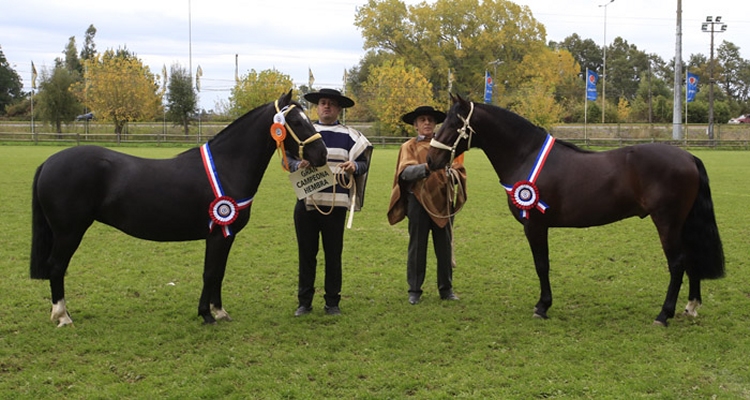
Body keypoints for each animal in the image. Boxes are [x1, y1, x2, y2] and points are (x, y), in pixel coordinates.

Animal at [30, 90, 328, 324]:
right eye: (295, 122)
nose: (322, 154)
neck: (227, 166)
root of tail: (49, 162)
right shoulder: (217, 234)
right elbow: (210, 273)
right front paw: (206, 314)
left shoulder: (225, 235)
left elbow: (218, 273)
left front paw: (219, 311)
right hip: (69, 232)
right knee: (57, 266)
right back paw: (63, 317)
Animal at [426, 95, 724, 326]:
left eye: (455, 123)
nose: (430, 159)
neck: (526, 155)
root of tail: (688, 156)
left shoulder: (535, 225)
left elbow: (541, 265)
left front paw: (542, 306)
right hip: (681, 224)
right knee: (691, 258)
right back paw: (690, 307)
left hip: (667, 222)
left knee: (677, 263)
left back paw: (663, 315)